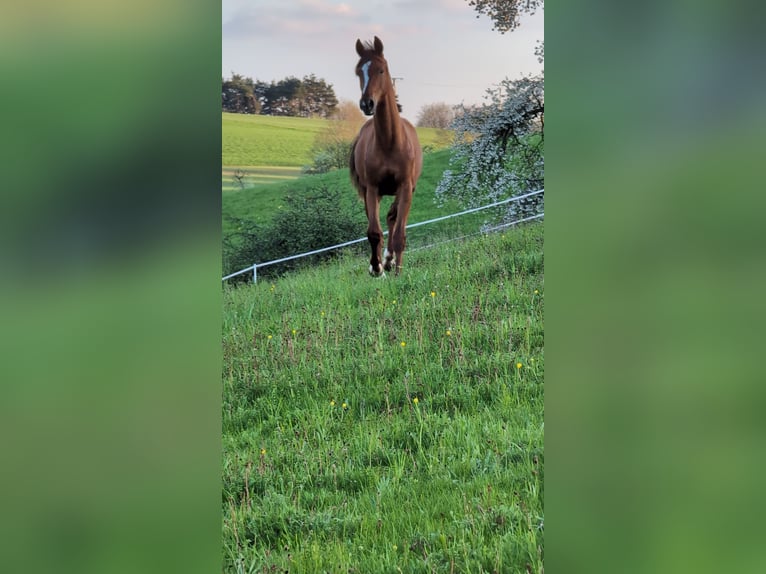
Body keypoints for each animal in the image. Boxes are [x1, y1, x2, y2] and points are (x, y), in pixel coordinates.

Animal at [349, 36, 423, 276]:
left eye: (381, 70)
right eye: (358, 72)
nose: (367, 104)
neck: (390, 143)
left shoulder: (406, 187)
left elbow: (399, 233)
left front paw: (398, 270)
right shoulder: (372, 189)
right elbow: (374, 232)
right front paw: (376, 267)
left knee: (393, 218)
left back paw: (391, 260)